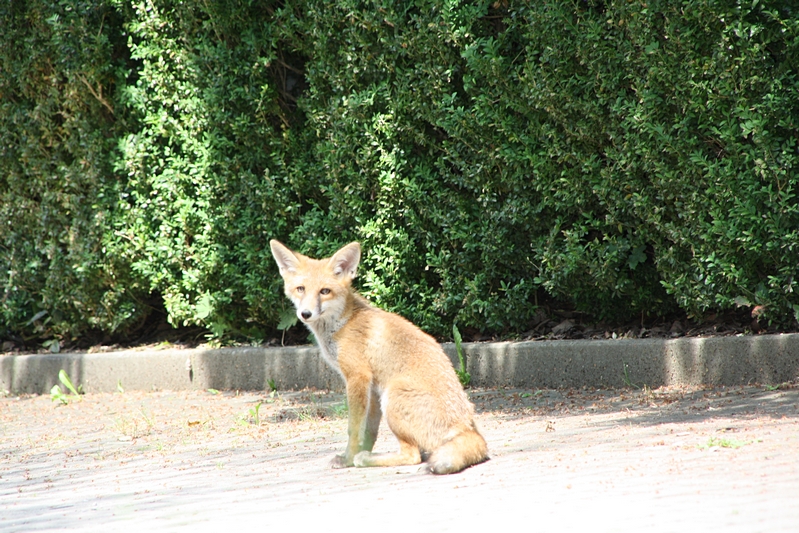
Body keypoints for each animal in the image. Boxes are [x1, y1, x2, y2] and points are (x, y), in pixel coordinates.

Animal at [272, 239, 490, 472]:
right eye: (300, 289)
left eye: (325, 291)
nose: (305, 314)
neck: (343, 323)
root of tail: (467, 429)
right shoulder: (372, 389)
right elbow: (368, 431)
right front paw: (358, 452)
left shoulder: (357, 377)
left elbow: (353, 428)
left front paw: (348, 459)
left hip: (392, 397)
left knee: (412, 455)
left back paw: (367, 460)